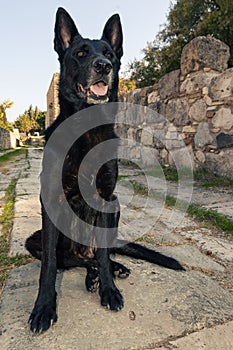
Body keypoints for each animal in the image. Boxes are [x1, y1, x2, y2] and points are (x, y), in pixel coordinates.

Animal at [25, 6, 185, 332]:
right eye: (80, 53)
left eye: (110, 54)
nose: (103, 66)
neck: (86, 129)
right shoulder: (50, 203)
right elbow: (49, 266)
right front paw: (44, 307)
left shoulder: (105, 198)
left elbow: (101, 253)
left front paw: (109, 289)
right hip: (33, 240)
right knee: (73, 261)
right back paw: (92, 275)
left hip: (116, 208)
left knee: (99, 254)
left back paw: (110, 270)